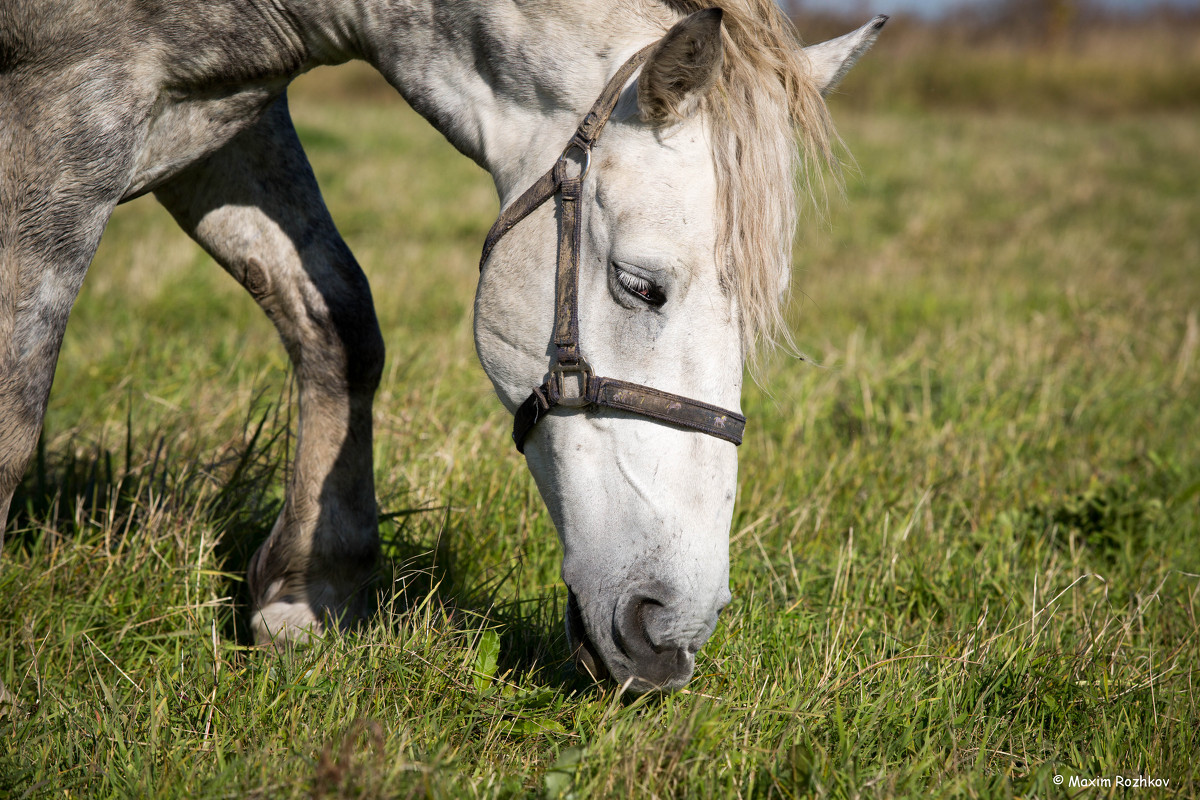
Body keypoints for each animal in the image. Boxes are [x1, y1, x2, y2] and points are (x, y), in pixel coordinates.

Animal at [0, 0, 883, 695]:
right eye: (641, 286)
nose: (672, 629)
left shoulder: (223, 124)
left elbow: (336, 319)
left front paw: (310, 594)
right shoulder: (71, 112)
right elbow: (17, 401)